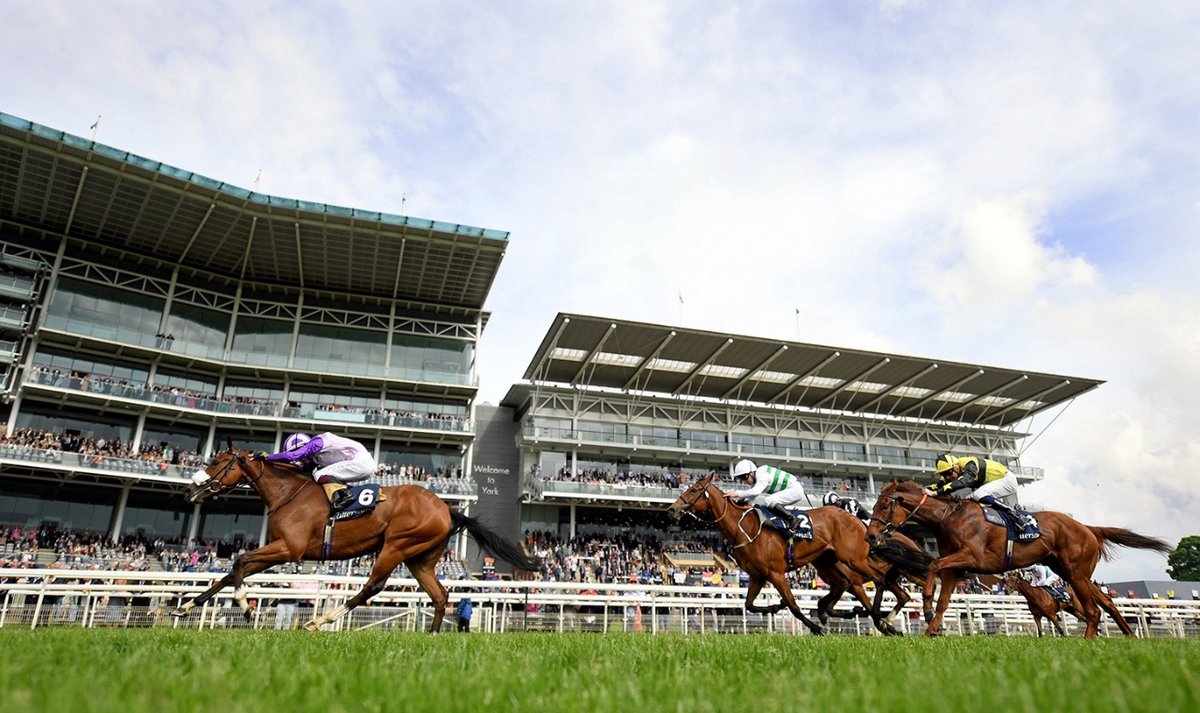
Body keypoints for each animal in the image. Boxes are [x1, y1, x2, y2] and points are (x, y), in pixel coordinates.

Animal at [174, 444, 540, 628]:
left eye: (217, 461)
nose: (190, 490)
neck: (287, 492)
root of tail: (447, 509)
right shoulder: (279, 548)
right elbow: (229, 572)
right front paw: (186, 606)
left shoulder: (289, 549)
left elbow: (238, 559)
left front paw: (245, 607)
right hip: (420, 559)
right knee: (439, 595)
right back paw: (432, 637)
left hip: (396, 545)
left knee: (372, 586)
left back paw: (320, 621)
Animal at [672, 472, 931, 633]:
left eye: (694, 490)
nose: (672, 509)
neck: (744, 527)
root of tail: (856, 522)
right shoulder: (758, 575)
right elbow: (750, 605)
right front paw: (776, 607)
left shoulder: (776, 574)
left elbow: (795, 606)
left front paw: (815, 627)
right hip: (831, 563)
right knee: (878, 585)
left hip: (853, 559)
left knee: (883, 580)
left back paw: (885, 620)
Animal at [868, 480, 1166, 633]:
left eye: (883, 505)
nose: (871, 537)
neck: (949, 516)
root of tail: (1088, 528)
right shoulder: (955, 567)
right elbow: (943, 598)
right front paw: (931, 627)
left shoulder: (974, 558)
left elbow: (933, 567)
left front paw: (926, 603)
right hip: (1072, 573)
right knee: (1106, 603)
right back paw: (1129, 635)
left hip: (1077, 573)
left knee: (1093, 611)